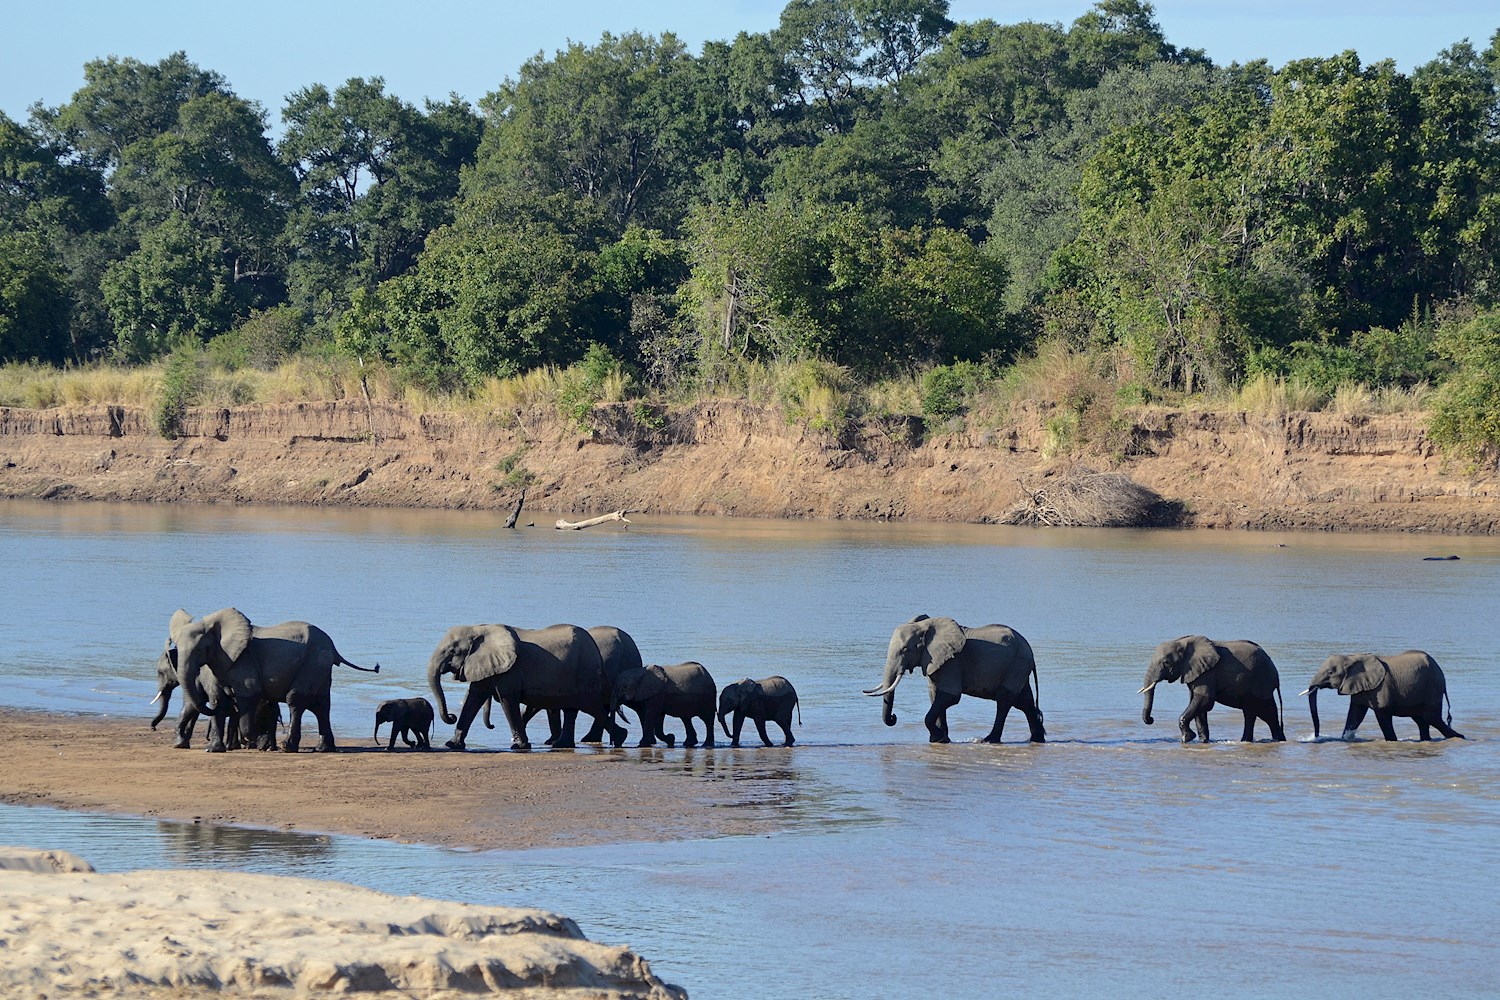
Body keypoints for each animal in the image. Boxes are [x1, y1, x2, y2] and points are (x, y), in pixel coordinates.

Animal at [168, 605, 381, 755]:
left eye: (199, 650)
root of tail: (334, 647)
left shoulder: (243, 662)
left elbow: (248, 694)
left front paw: (254, 740)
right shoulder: (218, 663)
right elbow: (218, 700)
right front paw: (213, 750)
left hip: (313, 662)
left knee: (295, 699)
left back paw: (287, 747)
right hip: (320, 668)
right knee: (321, 705)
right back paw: (323, 749)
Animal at [426, 620, 606, 755]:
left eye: (452, 651)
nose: (451, 716)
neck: (479, 629)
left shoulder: (510, 670)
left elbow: (507, 699)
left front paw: (519, 747)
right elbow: (474, 696)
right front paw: (452, 745)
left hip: (584, 671)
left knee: (575, 707)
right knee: (570, 709)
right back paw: (562, 745)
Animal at [870, 614, 1044, 746]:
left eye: (905, 649)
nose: (893, 717)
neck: (924, 626)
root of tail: (1031, 652)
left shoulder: (952, 661)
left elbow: (950, 696)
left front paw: (938, 738)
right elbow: (935, 695)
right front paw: (940, 740)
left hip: (1017, 665)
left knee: (1004, 700)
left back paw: (988, 740)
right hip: (1019, 668)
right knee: (1025, 702)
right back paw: (1037, 740)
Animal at [1140, 632, 1284, 743]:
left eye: (1166, 663)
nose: (1151, 720)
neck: (1182, 642)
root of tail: (1276, 674)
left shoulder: (1207, 672)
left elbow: (1204, 701)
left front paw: (1187, 738)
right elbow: (1198, 705)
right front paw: (1203, 741)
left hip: (1260, 682)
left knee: (1257, 711)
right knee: (1264, 713)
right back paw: (1276, 740)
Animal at [1302, 650, 1464, 743]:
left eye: (1330, 672)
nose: (1316, 736)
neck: (1352, 657)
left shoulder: (1382, 687)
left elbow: (1382, 715)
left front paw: (1392, 741)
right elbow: (1355, 714)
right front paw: (1345, 739)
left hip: (1433, 687)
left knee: (1431, 717)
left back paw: (1460, 737)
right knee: (1421, 720)